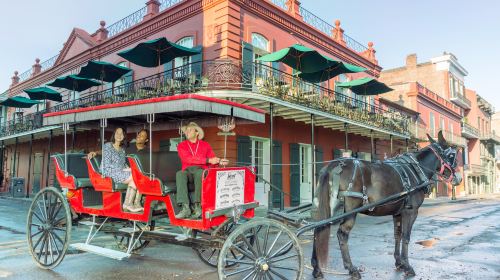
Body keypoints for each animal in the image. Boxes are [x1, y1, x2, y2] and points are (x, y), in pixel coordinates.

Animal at [310, 132, 462, 280]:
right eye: (452, 155)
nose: (459, 178)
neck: (416, 169)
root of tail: (335, 165)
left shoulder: (398, 212)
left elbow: (397, 235)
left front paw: (399, 262)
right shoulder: (411, 211)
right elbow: (406, 236)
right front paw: (407, 266)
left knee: (318, 229)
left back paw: (317, 269)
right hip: (350, 210)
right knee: (342, 234)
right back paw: (351, 269)